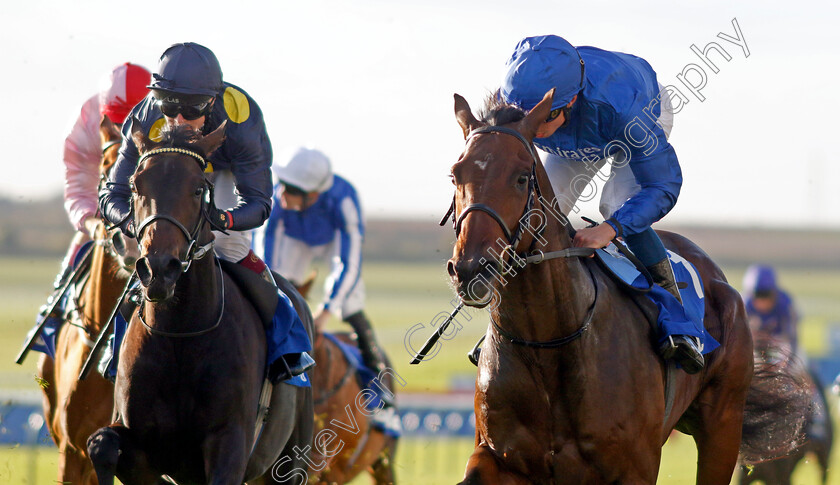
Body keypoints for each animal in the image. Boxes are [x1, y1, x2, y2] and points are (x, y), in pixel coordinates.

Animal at [86, 123, 316, 482]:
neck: (181, 334)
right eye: (136, 185)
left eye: (197, 190)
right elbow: (102, 444)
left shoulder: (230, 443)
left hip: (292, 457)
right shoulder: (141, 442)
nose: (159, 269)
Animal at [446, 89, 808, 482]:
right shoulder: (499, 456)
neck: (549, 340)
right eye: (455, 176)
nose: (471, 269)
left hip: (723, 424)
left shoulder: (635, 467)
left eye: (521, 178)